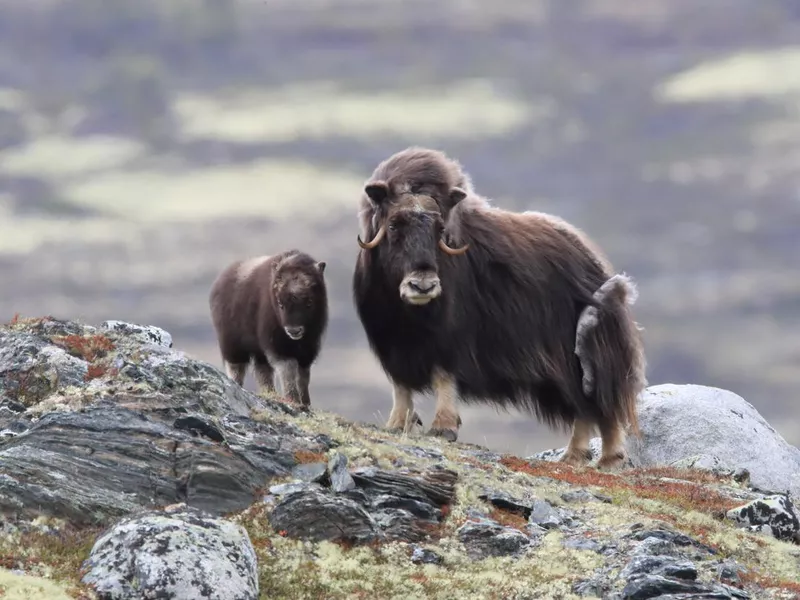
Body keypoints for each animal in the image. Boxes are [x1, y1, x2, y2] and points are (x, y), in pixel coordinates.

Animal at [211, 248, 330, 408]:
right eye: (280, 303)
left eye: (309, 301)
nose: (294, 331)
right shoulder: (277, 345)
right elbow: (288, 368)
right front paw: (293, 399)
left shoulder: (308, 349)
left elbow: (303, 374)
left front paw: (306, 402)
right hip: (232, 345)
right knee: (237, 367)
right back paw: (237, 385)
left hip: (258, 352)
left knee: (262, 371)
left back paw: (270, 392)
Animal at [354, 145, 648, 468]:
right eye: (394, 224)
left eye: (440, 228)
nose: (423, 285)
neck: (408, 314)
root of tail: (595, 261)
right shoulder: (390, 343)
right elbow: (401, 386)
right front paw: (395, 425)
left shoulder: (449, 341)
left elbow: (443, 377)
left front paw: (444, 427)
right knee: (583, 407)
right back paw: (573, 458)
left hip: (583, 354)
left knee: (599, 402)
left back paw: (606, 458)